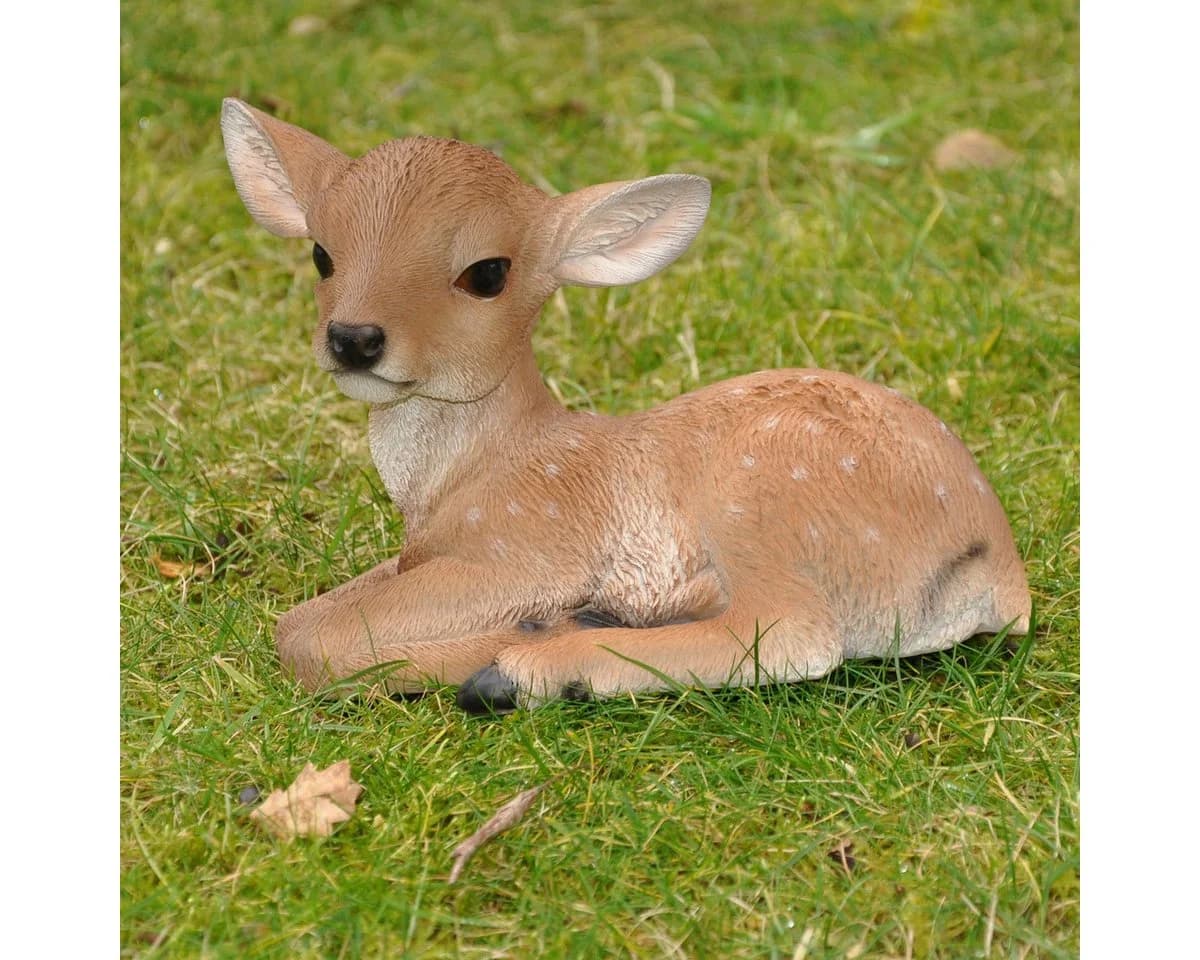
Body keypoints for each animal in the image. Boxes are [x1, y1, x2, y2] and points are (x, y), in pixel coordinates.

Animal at [220, 98, 1031, 715]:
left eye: (488, 272)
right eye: (321, 254)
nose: (354, 338)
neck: (470, 475)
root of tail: (999, 567)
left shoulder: (523, 551)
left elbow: (311, 637)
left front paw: (505, 641)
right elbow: (301, 618)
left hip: (764, 498)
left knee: (793, 635)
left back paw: (527, 669)